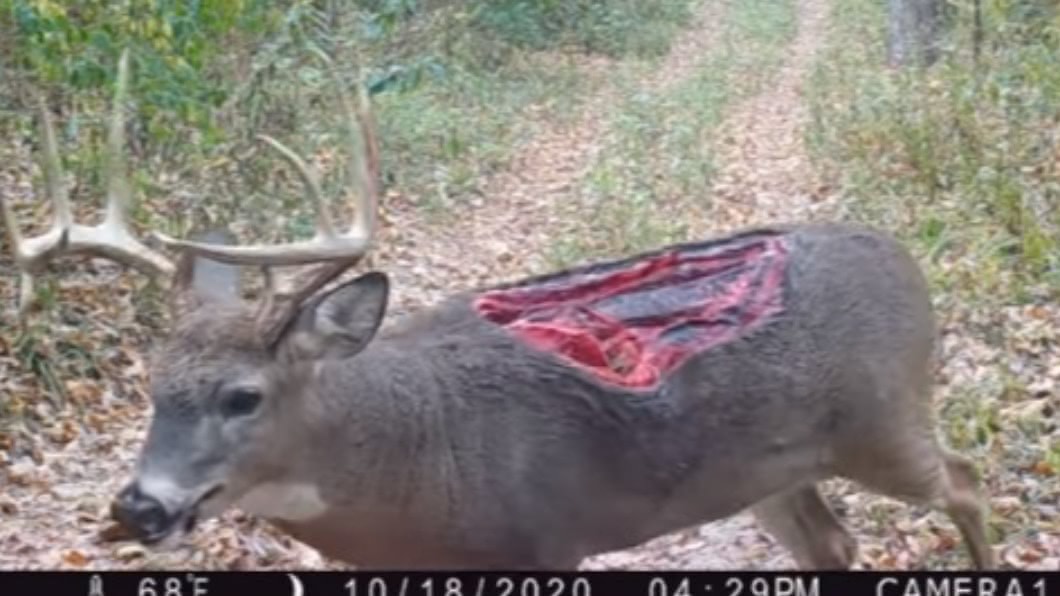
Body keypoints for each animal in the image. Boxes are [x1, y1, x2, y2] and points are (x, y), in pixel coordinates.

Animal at [2, 50, 995, 570]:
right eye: (150, 387)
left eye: (243, 396)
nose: (138, 507)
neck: (411, 463)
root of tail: (901, 252)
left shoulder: (546, 542)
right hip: (769, 471)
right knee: (833, 542)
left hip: (883, 418)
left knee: (965, 480)